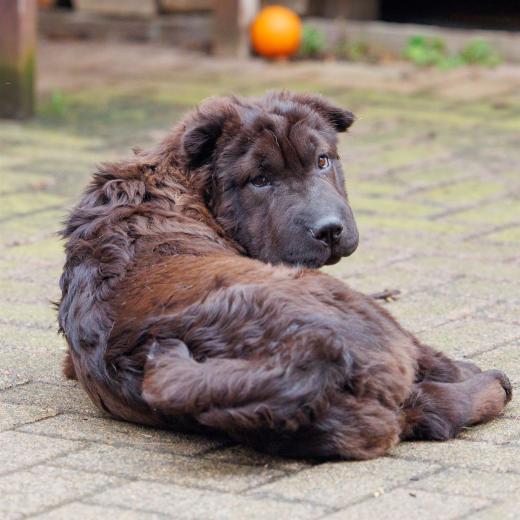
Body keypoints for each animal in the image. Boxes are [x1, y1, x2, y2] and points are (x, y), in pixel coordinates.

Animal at [58, 91, 511, 459]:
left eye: (322, 161)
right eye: (260, 180)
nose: (329, 231)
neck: (179, 183)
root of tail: (297, 364)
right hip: (355, 307)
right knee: (437, 397)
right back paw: (490, 383)